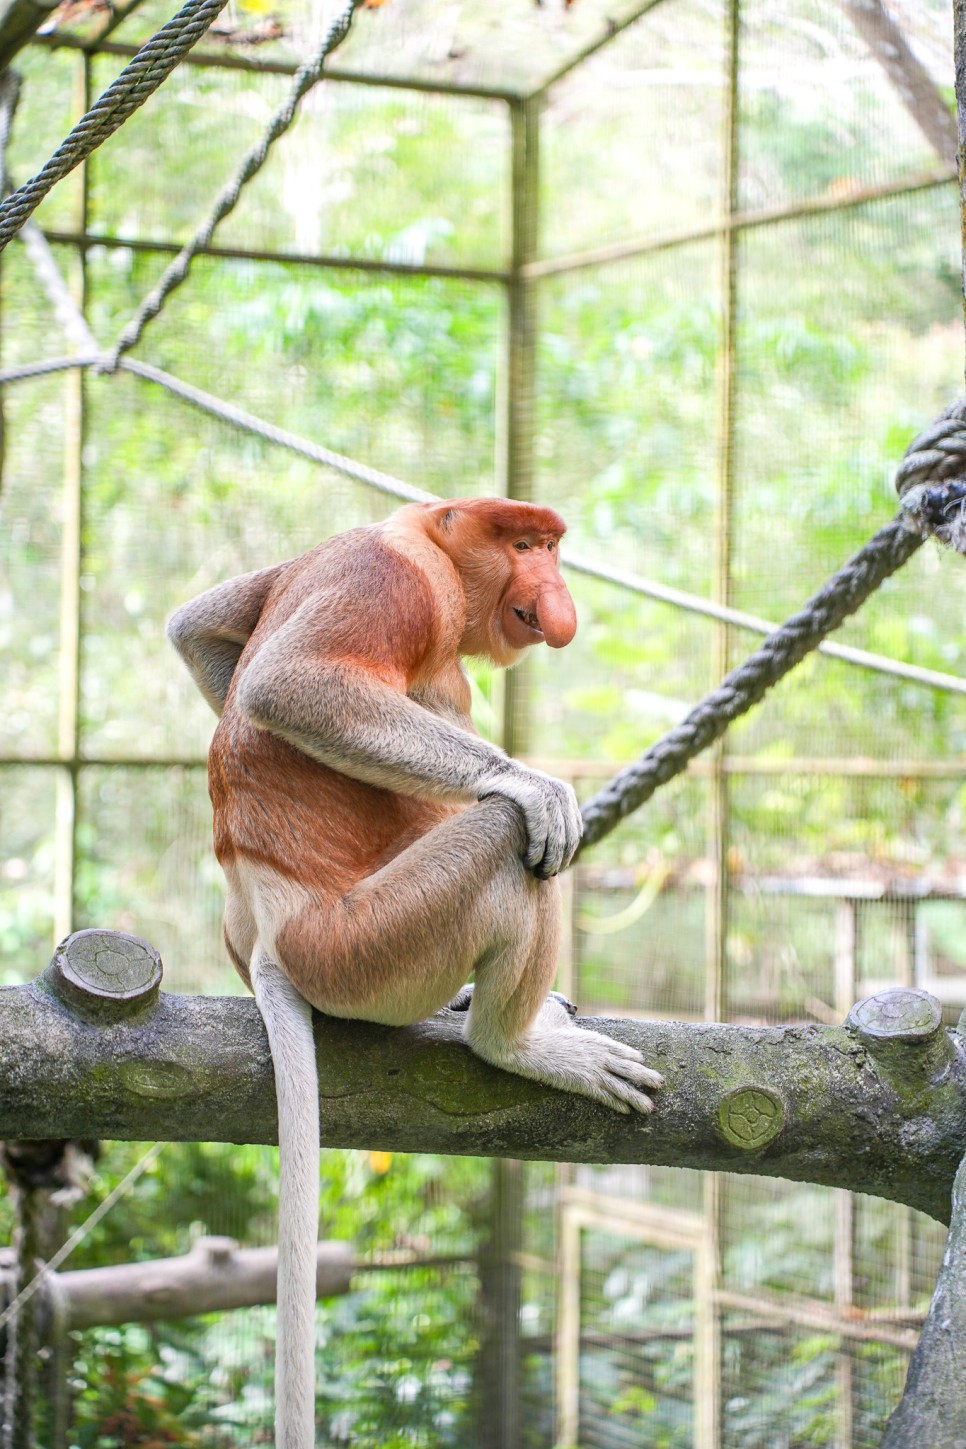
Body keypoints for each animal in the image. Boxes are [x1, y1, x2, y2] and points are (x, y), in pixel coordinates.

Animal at [168, 501, 666, 1449]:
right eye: (525, 545)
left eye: (551, 546)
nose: (554, 588)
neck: (429, 536)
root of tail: (275, 928)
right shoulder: (399, 581)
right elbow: (286, 685)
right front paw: (537, 786)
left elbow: (200, 628)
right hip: (367, 945)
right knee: (508, 838)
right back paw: (516, 1039)